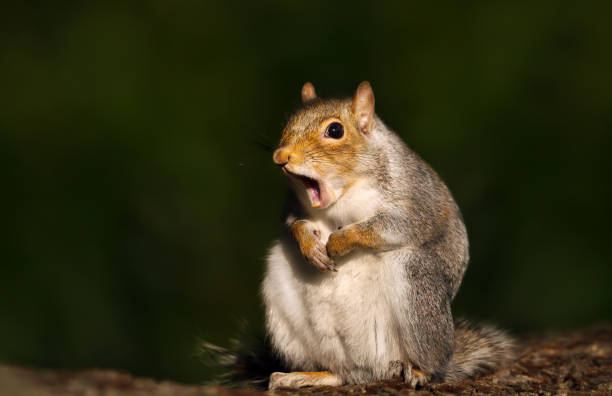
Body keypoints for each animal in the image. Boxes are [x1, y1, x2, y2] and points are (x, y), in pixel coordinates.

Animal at [260, 81, 512, 390]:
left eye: (335, 130)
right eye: (288, 122)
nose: (281, 156)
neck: (344, 193)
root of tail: (370, 369)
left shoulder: (416, 202)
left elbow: (389, 227)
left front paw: (339, 242)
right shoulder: (292, 207)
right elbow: (294, 224)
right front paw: (310, 245)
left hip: (416, 283)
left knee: (432, 363)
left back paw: (419, 371)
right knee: (339, 373)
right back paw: (305, 375)